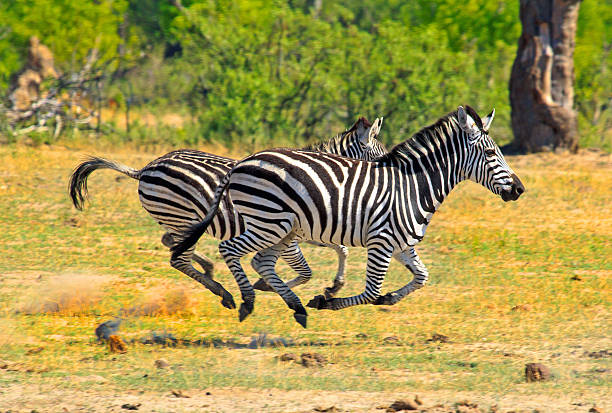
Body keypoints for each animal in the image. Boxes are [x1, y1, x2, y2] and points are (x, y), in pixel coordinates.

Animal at [69, 116, 384, 308]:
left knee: (170, 243)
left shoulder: (310, 230)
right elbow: (305, 271)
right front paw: (265, 285)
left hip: (178, 219)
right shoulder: (291, 234)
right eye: (383, 158)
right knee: (177, 256)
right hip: (183, 216)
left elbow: (341, 249)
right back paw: (224, 292)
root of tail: (145, 168)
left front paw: (334, 287)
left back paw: (209, 269)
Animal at [172, 106, 524, 328]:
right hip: (270, 223)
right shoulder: (382, 242)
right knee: (230, 249)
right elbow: (370, 291)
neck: (413, 187)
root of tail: (242, 162)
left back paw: (294, 306)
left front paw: (389, 298)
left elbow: (421, 277)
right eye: (491, 153)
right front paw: (327, 301)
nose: (519, 190)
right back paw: (246, 300)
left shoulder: (402, 244)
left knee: (262, 262)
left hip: (282, 229)